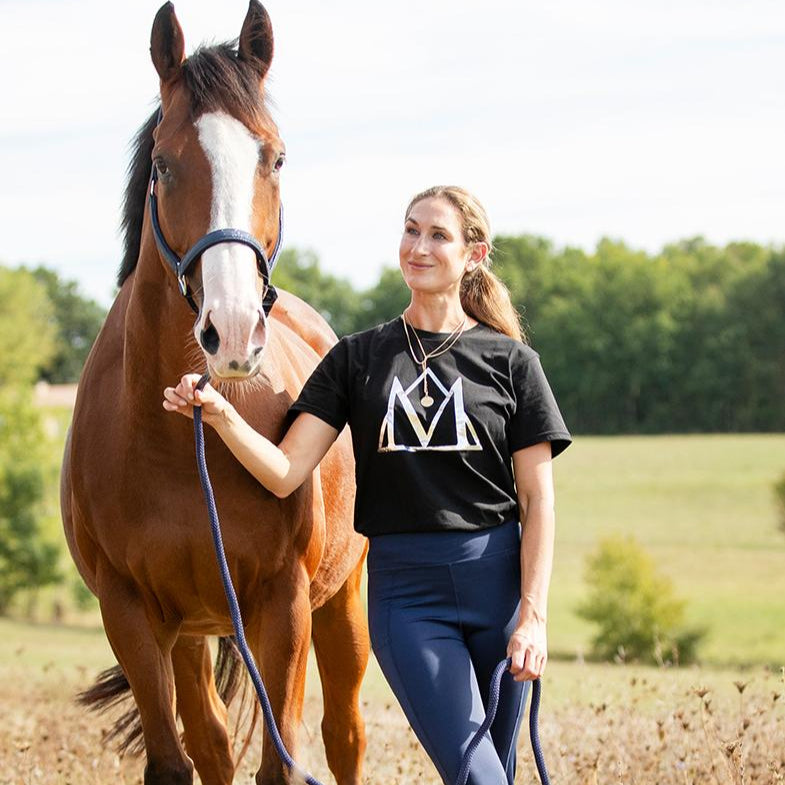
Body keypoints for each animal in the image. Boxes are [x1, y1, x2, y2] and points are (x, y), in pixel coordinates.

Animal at [60, 3, 369, 784]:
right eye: (164, 164)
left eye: (276, 157)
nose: (231, 330)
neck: (177, 443)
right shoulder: (132, 613)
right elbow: (180, 760)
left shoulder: (285, 604)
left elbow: (282, 762)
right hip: (194, 629)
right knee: (214, 743)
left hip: (341, 600)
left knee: (344, 734)